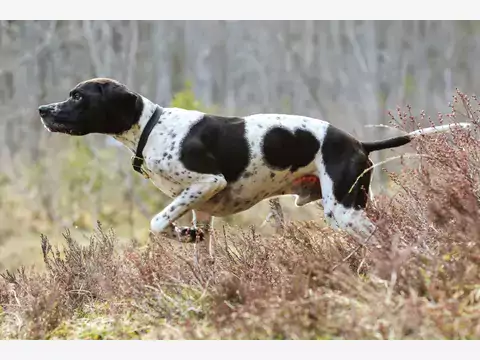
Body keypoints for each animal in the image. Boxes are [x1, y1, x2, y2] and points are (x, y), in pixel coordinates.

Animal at [37, 78, 472, 258]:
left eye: (77, 96)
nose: (43, 109)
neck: (152, 127)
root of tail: (357, 142)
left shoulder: (207, 182)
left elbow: (157, 222)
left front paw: (177, 234)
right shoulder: (201, 207)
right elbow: (198, 247)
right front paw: (189, 242)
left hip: (345, 212)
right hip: (351, 205)